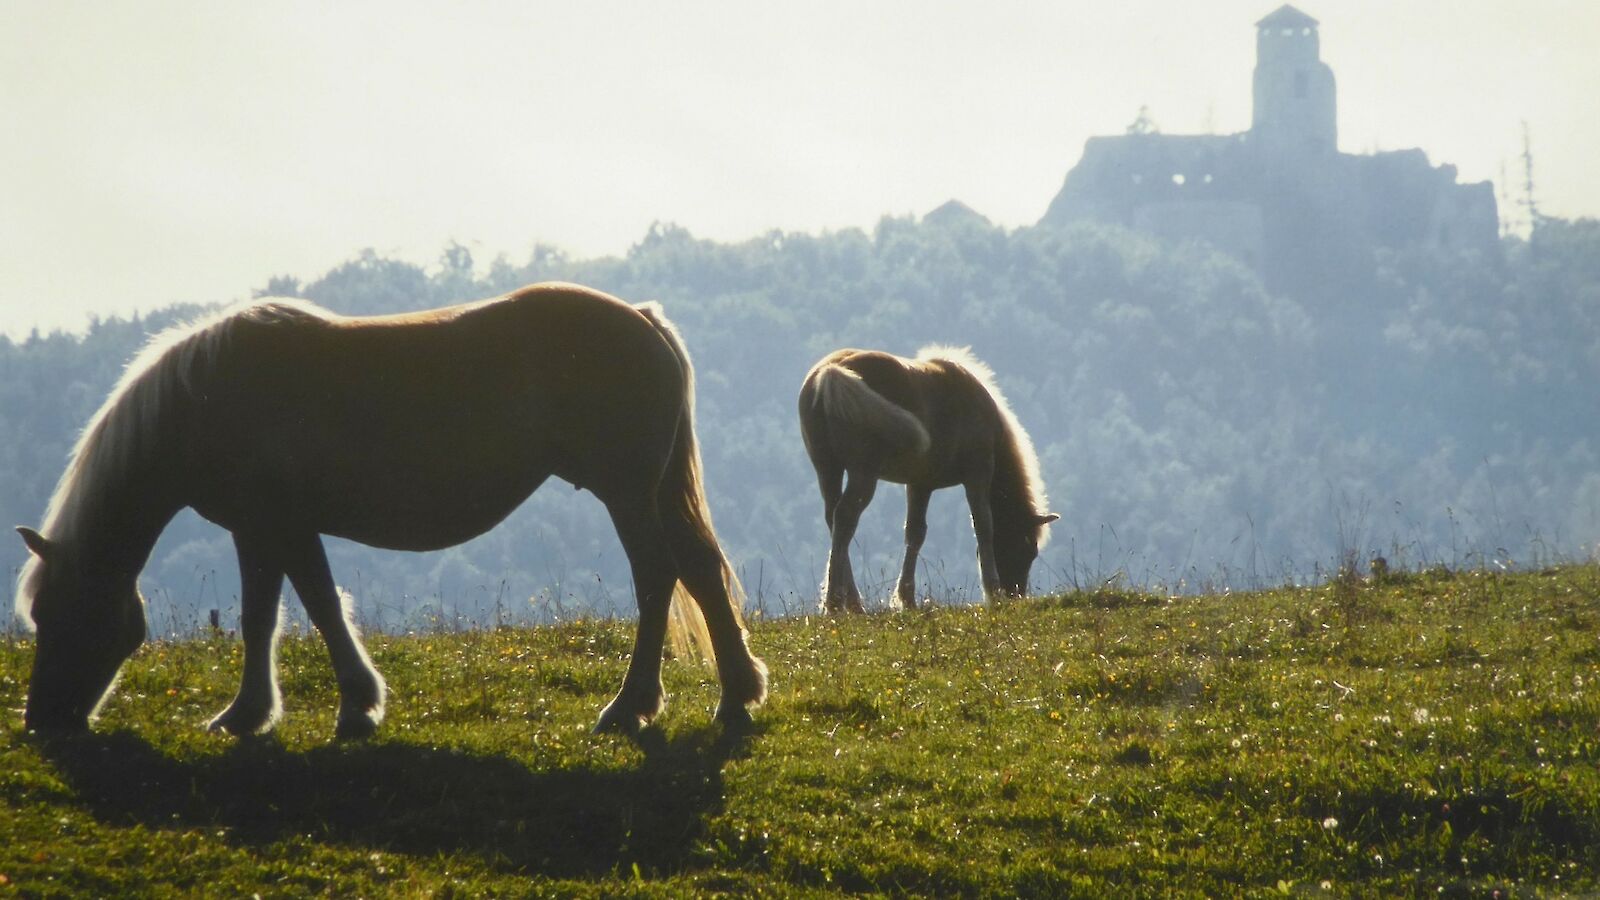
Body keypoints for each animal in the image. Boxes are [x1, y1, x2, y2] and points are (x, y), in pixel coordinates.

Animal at [10, 281, 761, 736]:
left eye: (60, 614)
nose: (41, 722)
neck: (206, 400)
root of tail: (641, 318)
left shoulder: (269, 527)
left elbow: (281, 614)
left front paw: (269, 713)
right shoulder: (280, 530)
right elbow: (297, 608)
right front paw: (330, 706)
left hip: (626, 494)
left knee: (658, 579)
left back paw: (630, 707)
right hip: (652, 493)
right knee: (699, 572)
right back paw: (736, 694)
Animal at [796, 344, 1049, 608]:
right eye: (1027, 549)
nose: (1015, 594)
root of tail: (830, 372)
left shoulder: (920, 484)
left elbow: (915, 533)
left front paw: (907, 599)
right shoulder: (977, 473)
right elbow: (983, 525)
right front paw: (992, 590)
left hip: (828, 469)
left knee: (833, 519)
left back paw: (850, 603)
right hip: (862, 473)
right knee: (845, 519)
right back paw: (837, 604)